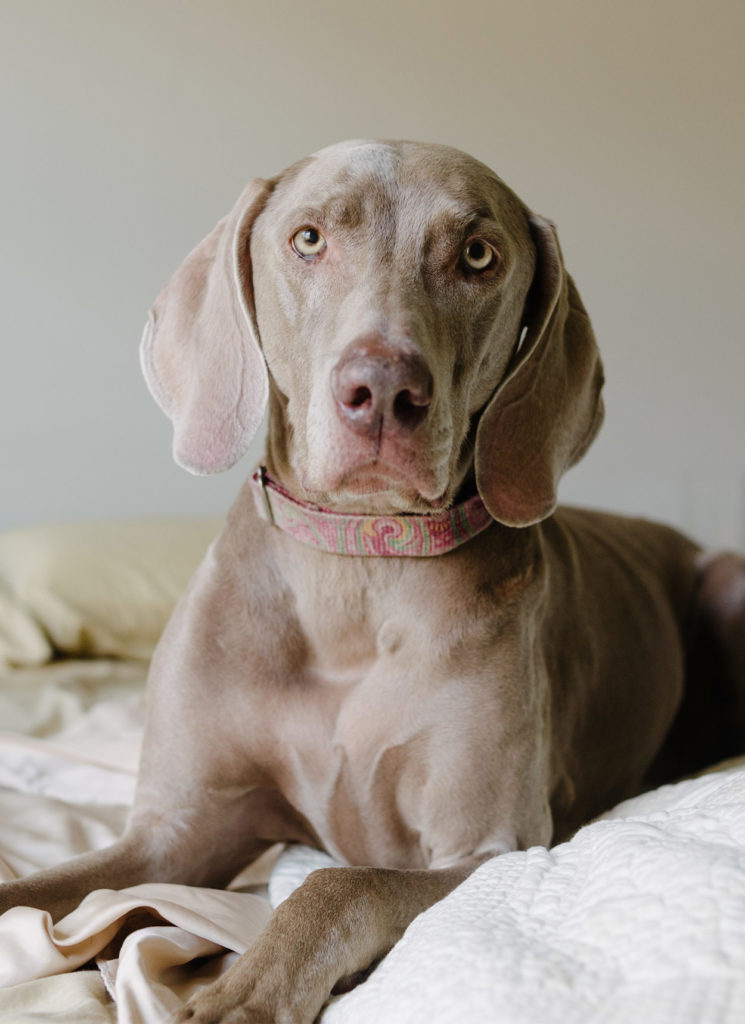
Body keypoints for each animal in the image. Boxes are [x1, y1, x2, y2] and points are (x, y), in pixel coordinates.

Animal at [1, 138, 745, 1024]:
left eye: (478, 255)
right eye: (309, 239)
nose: (383, 390)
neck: (354, 570)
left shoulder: (485, 847)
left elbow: (336, 882)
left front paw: (241, 994)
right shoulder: (174, 834)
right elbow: (42, 891)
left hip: (728, 583)